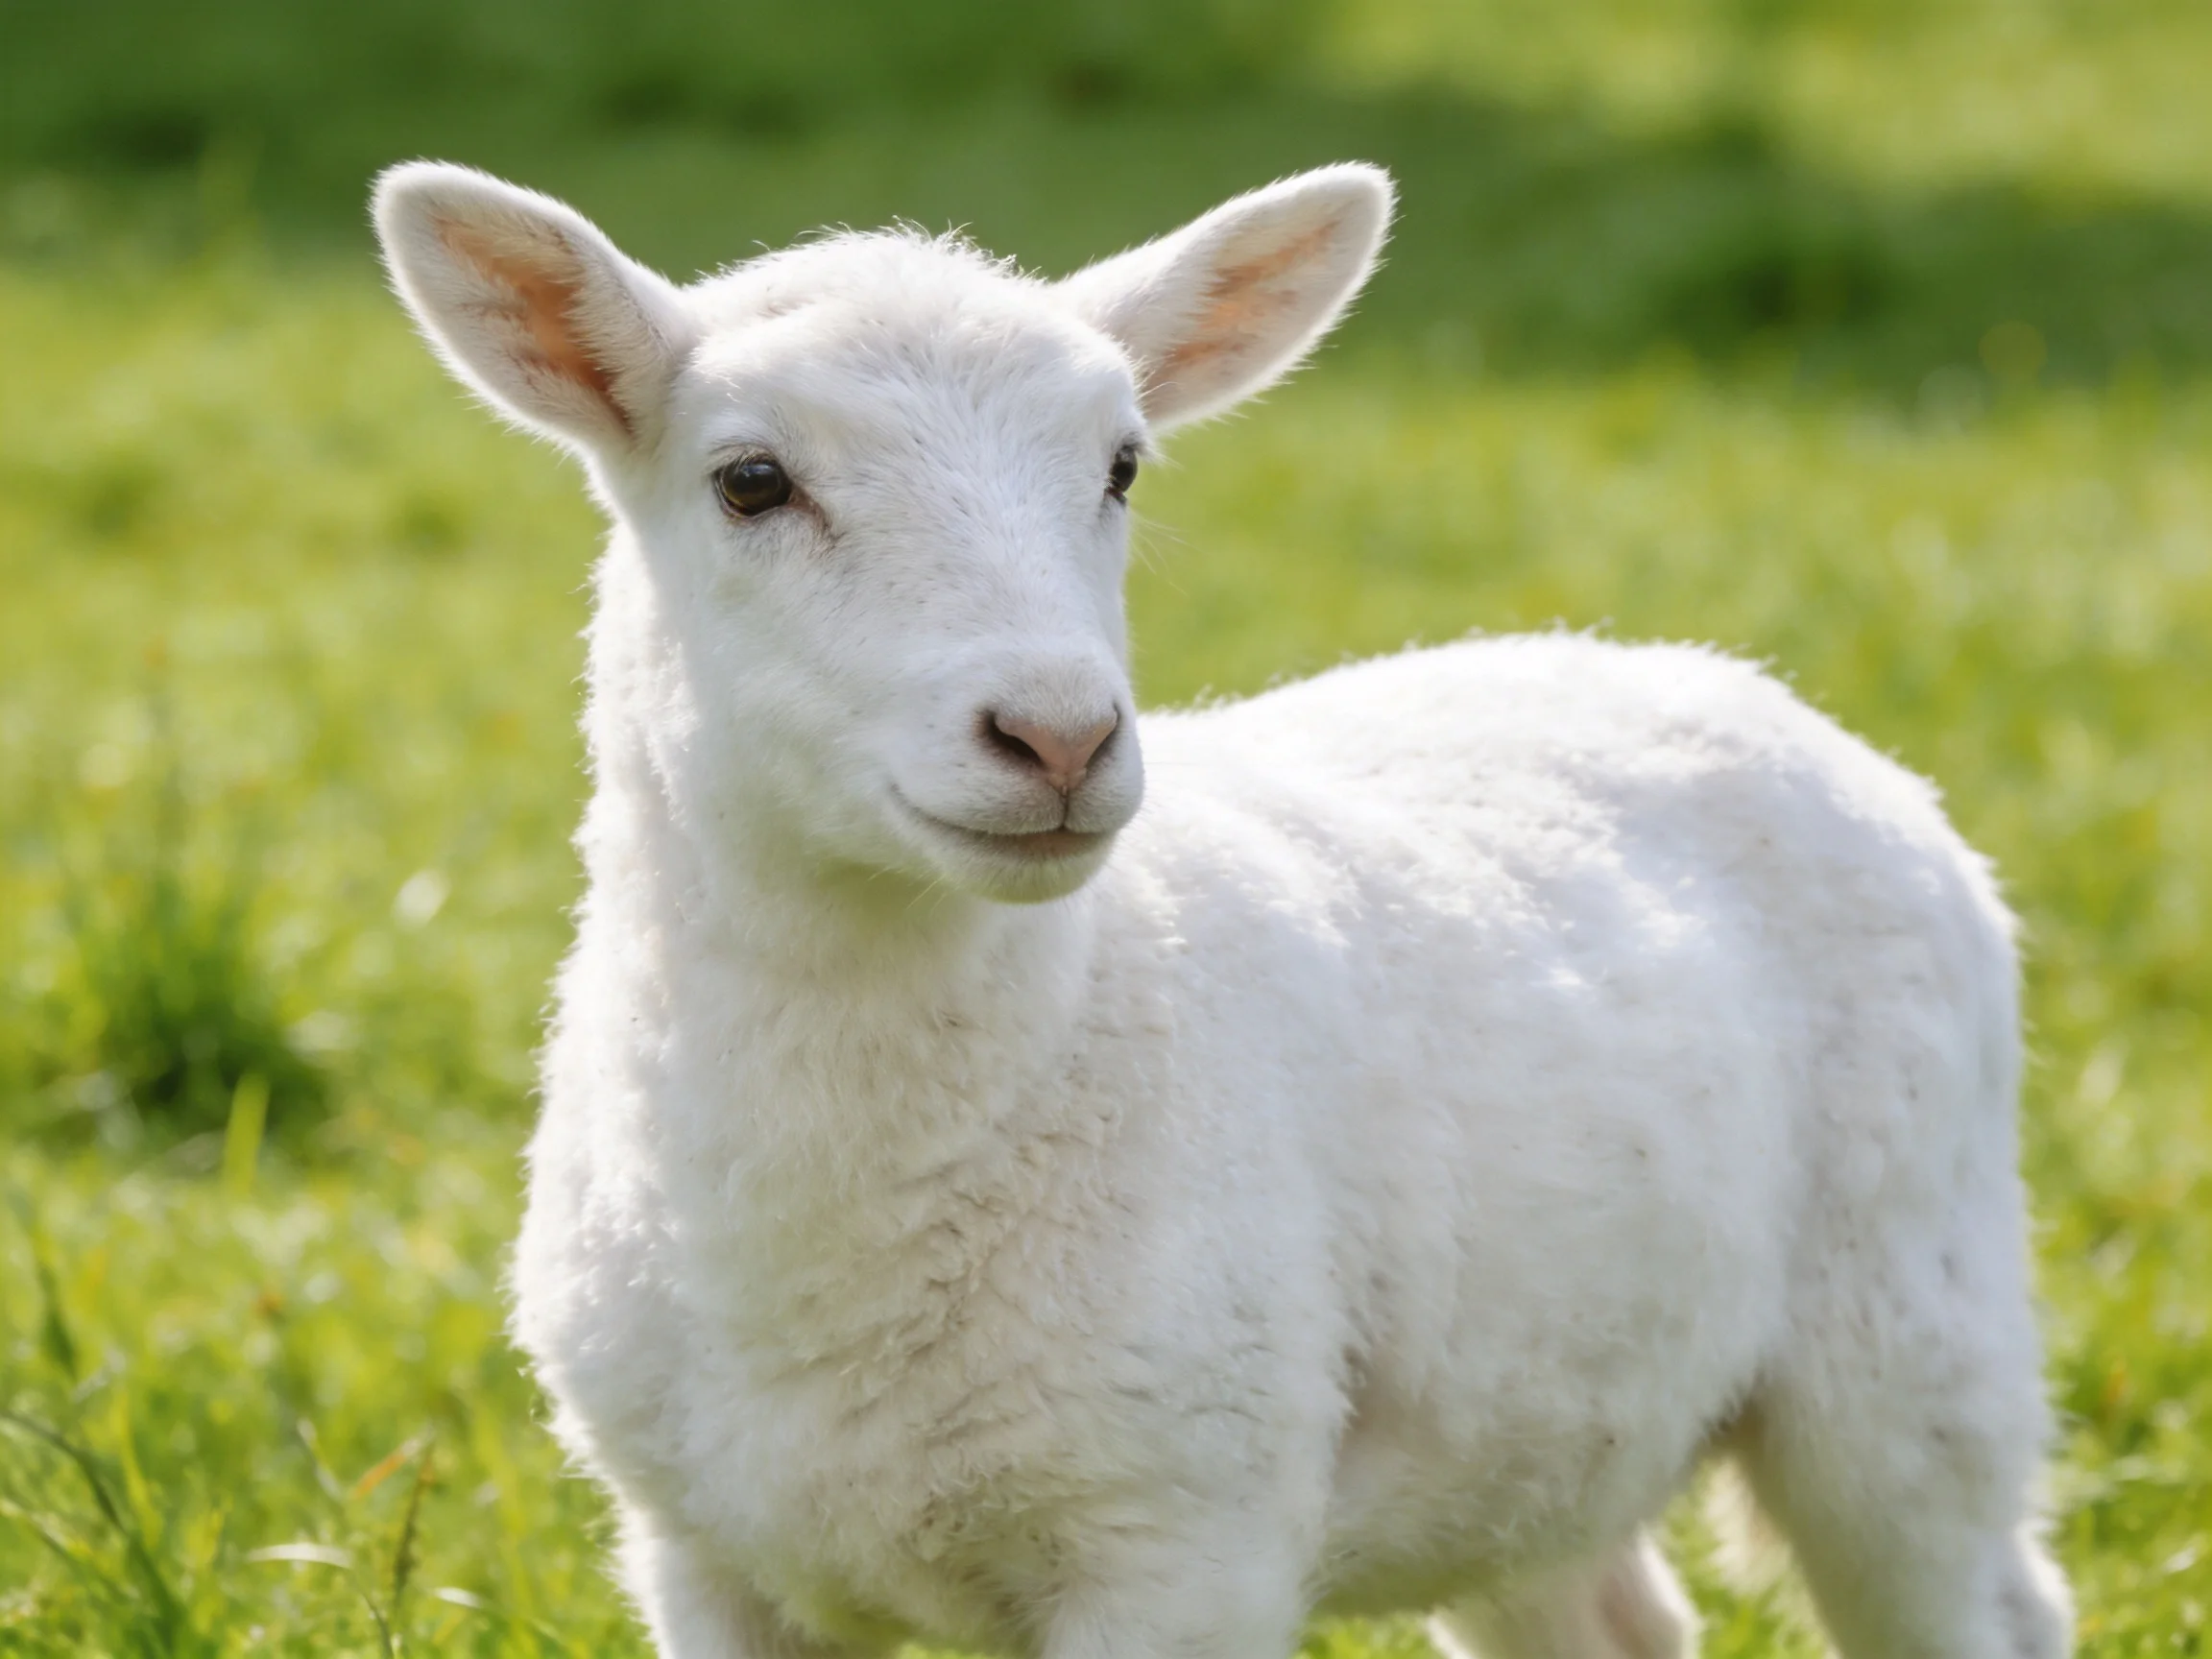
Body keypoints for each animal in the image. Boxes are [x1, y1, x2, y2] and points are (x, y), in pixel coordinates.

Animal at [372, 158, 2075, 1659]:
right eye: (749, 482)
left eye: (1122, 467)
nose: (1059, 736)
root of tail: (1718, 675)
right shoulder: (703, 1556)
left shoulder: (1180, 1532)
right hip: (1545, 1415)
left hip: (1910, 1330)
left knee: (1987, 1600)